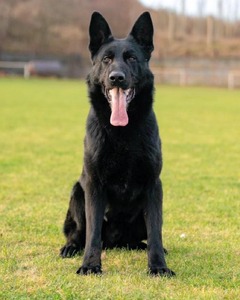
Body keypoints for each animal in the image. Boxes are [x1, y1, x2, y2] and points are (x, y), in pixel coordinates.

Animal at [61, 11, 175, 276]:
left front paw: (158, 266)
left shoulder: (153, 186)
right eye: (106, 59)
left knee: (141, 238)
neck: (122, 133)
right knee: (78, 233)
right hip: (78, 192)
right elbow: (93, 233)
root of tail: (115, 242)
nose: (117, 78)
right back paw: (71, 247)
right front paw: (90, 265)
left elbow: (156, 232)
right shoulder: (93, 185)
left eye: (132, 58)